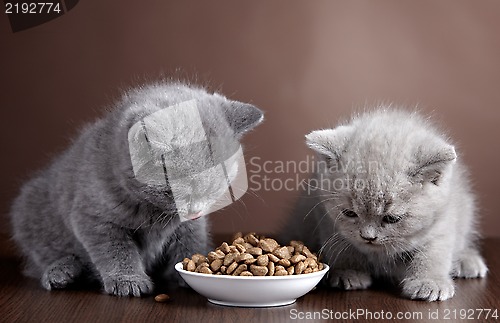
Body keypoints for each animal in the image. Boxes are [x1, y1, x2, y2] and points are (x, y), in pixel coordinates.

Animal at [9, 82, 264, 298]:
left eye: (215, 188)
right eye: (180, 190)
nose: (195, 211)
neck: (156, 213)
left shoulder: (190, 226)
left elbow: (192, 240)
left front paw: (191, 269)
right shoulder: (93, 217)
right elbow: (115, 250)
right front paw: (128, 280)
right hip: (28, 213)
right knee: (41, 258)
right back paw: (61, 271)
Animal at [284, 108, 486, 302]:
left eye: (392, 218)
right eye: (350, 213)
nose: (368, 237)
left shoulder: (444, 219)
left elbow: (434, 252)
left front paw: (429, 282)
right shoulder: (325, 216)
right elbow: (342, 245)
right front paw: (348, 271)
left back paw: (467, 261)